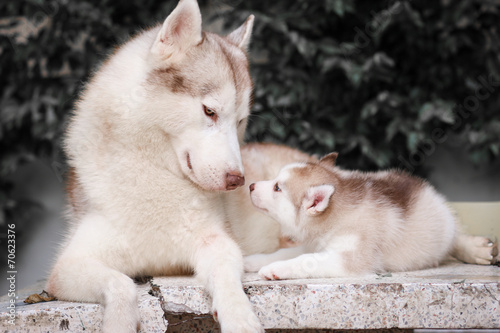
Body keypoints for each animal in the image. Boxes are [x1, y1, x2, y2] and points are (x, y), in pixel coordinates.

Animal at [47, 1, 264, 330]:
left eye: (240, 121)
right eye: (209, 111)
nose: (237, 180)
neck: (156, 172)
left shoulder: (218, 242)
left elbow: (227, 275)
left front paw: (240, 317)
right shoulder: (67, 267)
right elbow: (121, 284)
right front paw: (119, 323)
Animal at [244, 152, 498, 278]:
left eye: (277, 188)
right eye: (275, 180)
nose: (251, 185)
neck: (336, 216)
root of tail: (431, 192)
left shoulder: (351, 258)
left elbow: (306, 261)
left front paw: (275, 270)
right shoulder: (315, 244)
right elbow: (284, 252)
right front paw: (254, 260)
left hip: (445, 227)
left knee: (456, 238)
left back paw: (476, 249)